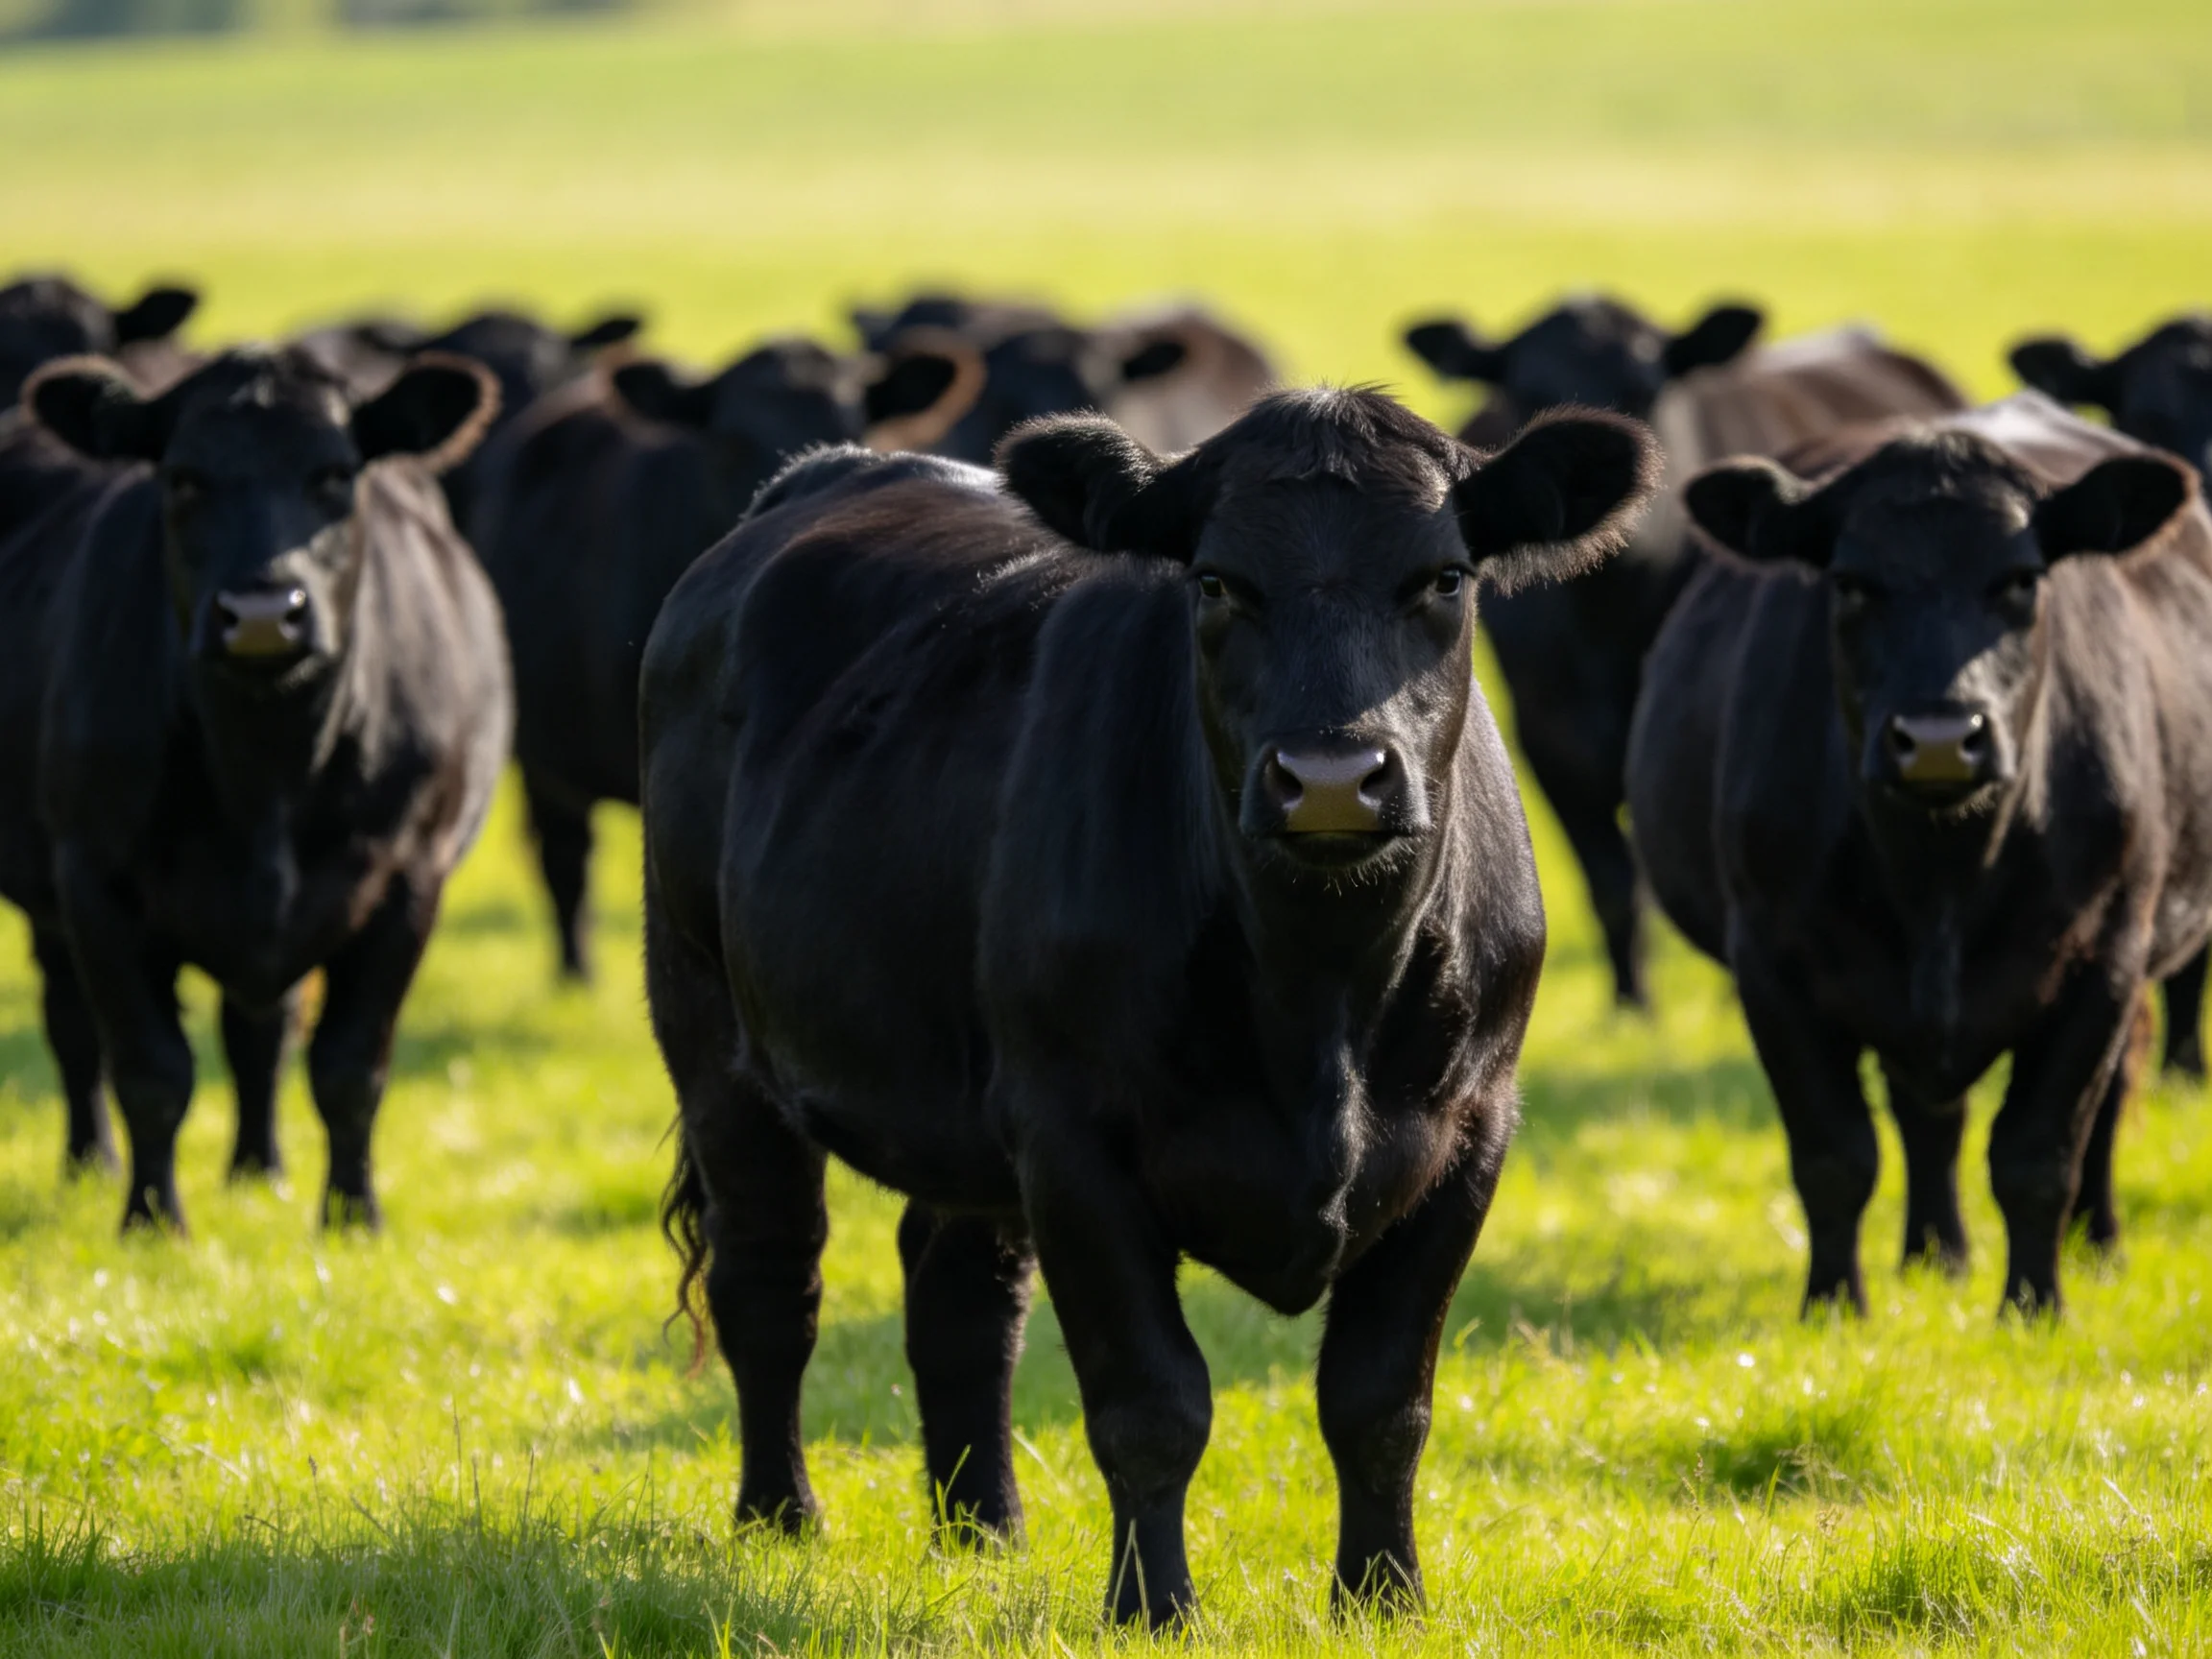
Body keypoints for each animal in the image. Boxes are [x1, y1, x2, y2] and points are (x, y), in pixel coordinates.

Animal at [0, 346, 512, 1230]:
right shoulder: (94, 881)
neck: (268, 772)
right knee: (74, 1025)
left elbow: (349, 1067)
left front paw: (353, 1217)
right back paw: (90, 1163)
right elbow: (150, 1069)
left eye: (335, 475)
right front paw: (152, 1221)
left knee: (260, 1031)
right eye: (182, 479)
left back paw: (256, 1171)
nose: (266, 612)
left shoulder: (408, 878)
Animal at [641, 387, 1660, 1622]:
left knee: (959, 1306)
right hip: (713, 1033)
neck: (1318, 999)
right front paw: (1154, 1610)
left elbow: (1380, 1402)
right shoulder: (1075, 1143)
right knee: (769, 1282)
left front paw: (1382, 1598)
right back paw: (780, 1521)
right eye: (1216, 581)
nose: (1331, 779)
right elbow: (1151, 1405)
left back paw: (984, 1537)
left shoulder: (1470, 1134)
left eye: (1445, 578)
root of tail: (832, 472)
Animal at [1406, 296, 1966, 1007]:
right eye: (1524, 393)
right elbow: (1614, 885)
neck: (1610, 623)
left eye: (1649, 390)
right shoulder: (1551, 737)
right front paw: (1632, 1007)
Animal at [1625, 393, 2212, 1319]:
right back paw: (1936, 1256)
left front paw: (2034, 1311)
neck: (1941, 877)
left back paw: (2099, 1247)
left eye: (2021, 579)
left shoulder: (2105, 958)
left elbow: (2040, 1154)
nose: (1939, 738)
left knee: (2104, 1104)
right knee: (1927, 1115)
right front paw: (1834, 1309)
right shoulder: (1771, 965)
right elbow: (1835, 1155)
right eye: (1851, 583)